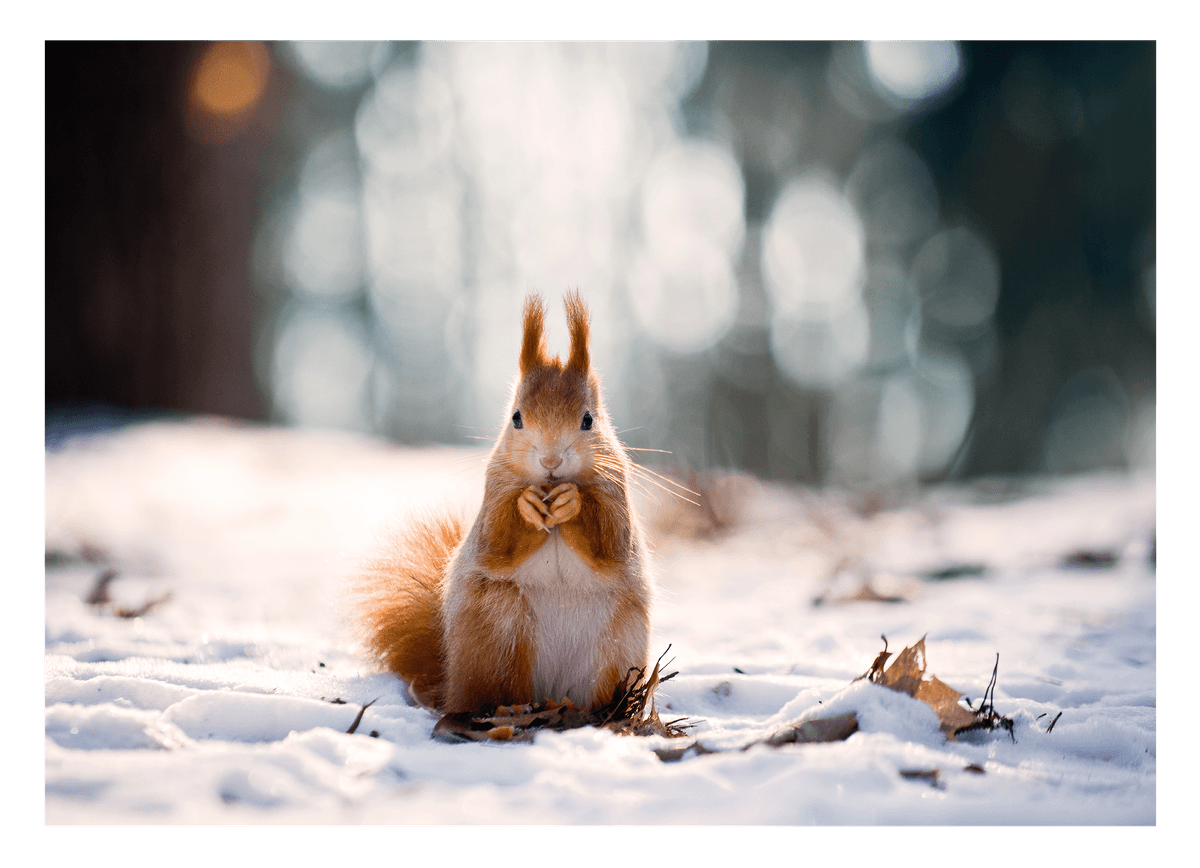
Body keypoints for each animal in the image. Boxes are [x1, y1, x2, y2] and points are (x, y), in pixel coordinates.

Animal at [356, 291, 653, 715]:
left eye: (588, 420)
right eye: (516, 418)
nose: (550, 462)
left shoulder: (616, 493)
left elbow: (610, 542)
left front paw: (573, 502)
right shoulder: (493, 493)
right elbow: (497, 540)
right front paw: (526, 506)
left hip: (617, 644)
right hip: (499, 630)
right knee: (494, 689)